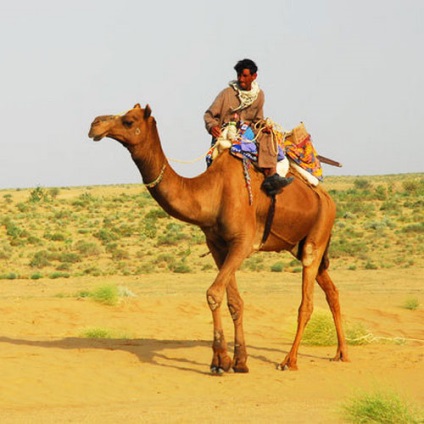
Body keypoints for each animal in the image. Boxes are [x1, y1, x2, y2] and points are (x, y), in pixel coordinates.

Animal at [88, 104, 350, 372]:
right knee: (332, 291)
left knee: (306, 302)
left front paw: (220, 360)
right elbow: (234, 302)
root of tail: (326, 197)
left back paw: (289, 360)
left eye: (129, 121)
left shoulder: (243, 243)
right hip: (298, 243)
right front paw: (239, 361)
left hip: (317, 236)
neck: (211, 193)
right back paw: (341, 353)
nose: (95, 124)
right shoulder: (218, 245)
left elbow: (213, 294)